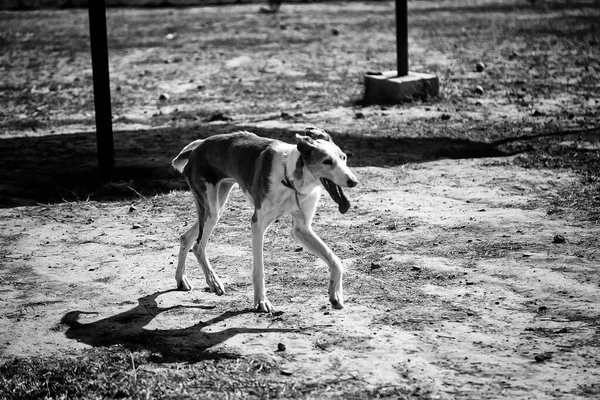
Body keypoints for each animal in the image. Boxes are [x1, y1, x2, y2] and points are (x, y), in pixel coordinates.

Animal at [171, 127, 358, 312]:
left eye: (344, 157)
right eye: (327, 161)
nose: (354, 181)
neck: (290, 179)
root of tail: (199, 146)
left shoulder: (301, 229)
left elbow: (335, 260)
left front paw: (335, 295)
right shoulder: (258, 224)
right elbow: (259, 270)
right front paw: (261, 301)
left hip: (216, 208)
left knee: (186, 238)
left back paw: (181, 280)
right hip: (211, 211)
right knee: (198, 246)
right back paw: (213, 282)